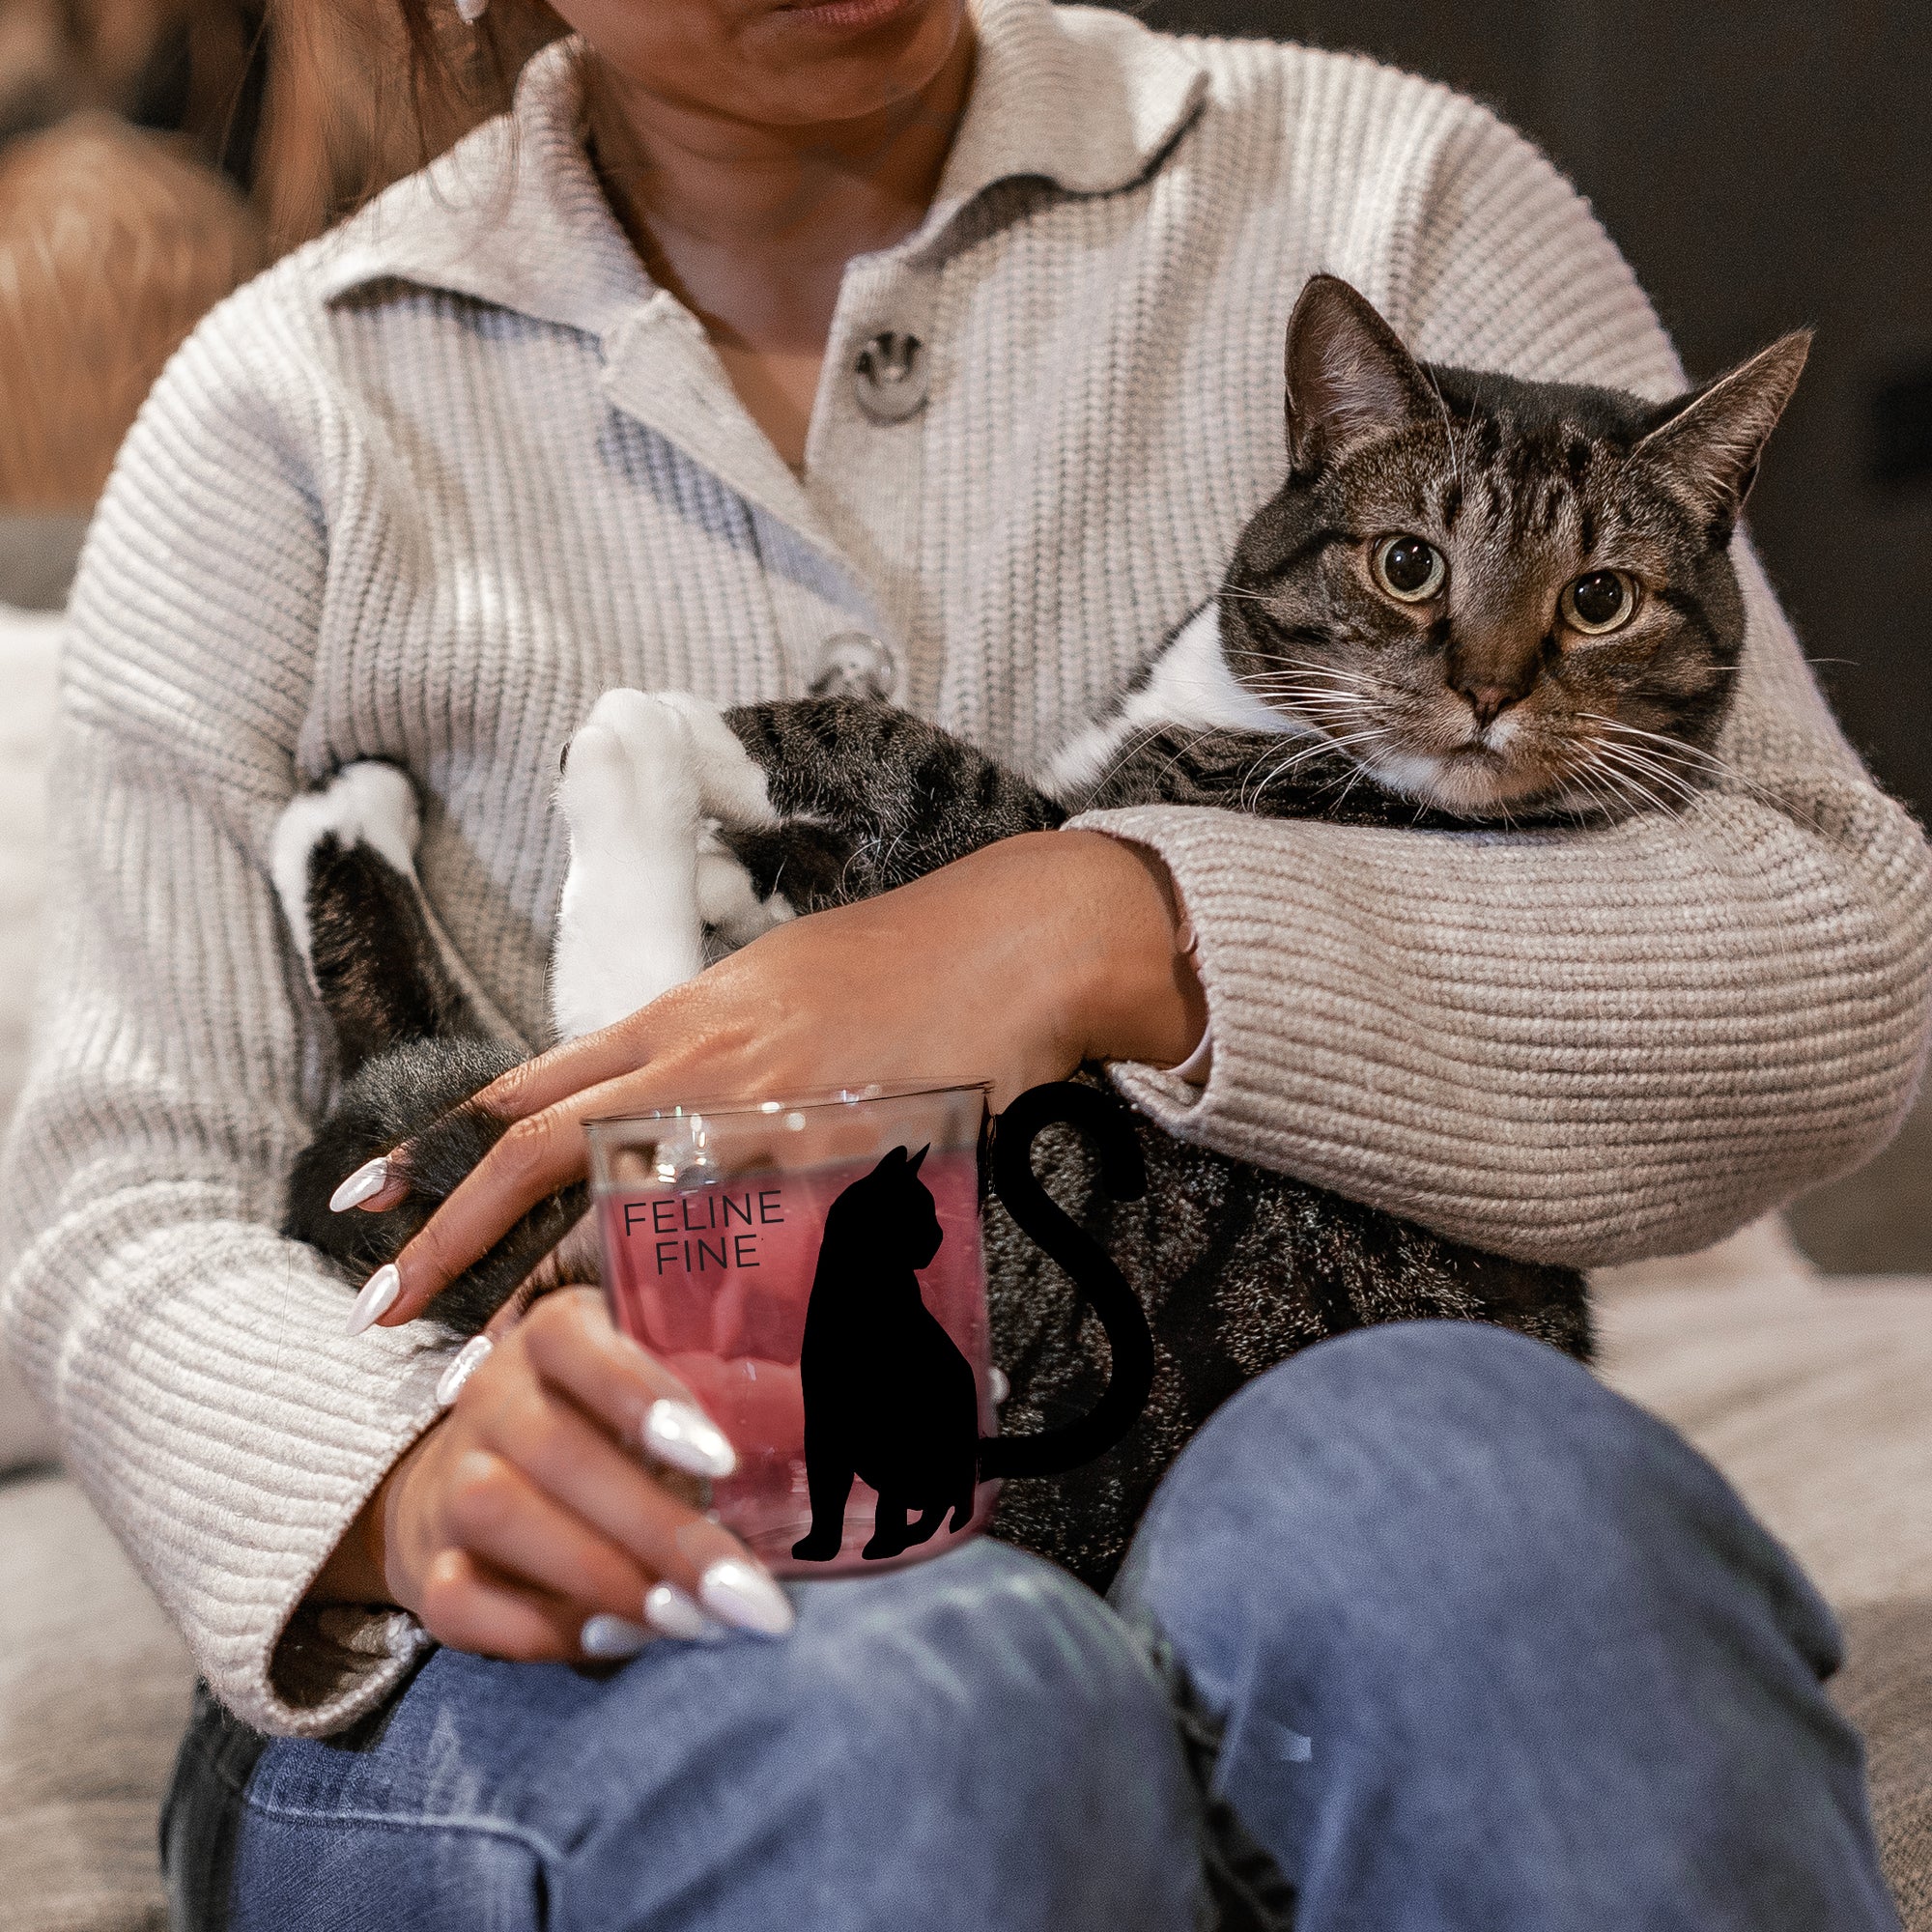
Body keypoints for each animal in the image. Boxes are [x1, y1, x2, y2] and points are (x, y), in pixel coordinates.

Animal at [789, 1145, 982, 1563]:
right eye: (920, 1211)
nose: (940, 1235)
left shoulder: (895, 1429)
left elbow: (885, 1504)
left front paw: (885, 1545)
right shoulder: (824, 1430)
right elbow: (825, 1498)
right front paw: (821, 1547)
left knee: (947, 1504)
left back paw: (917, 1535)